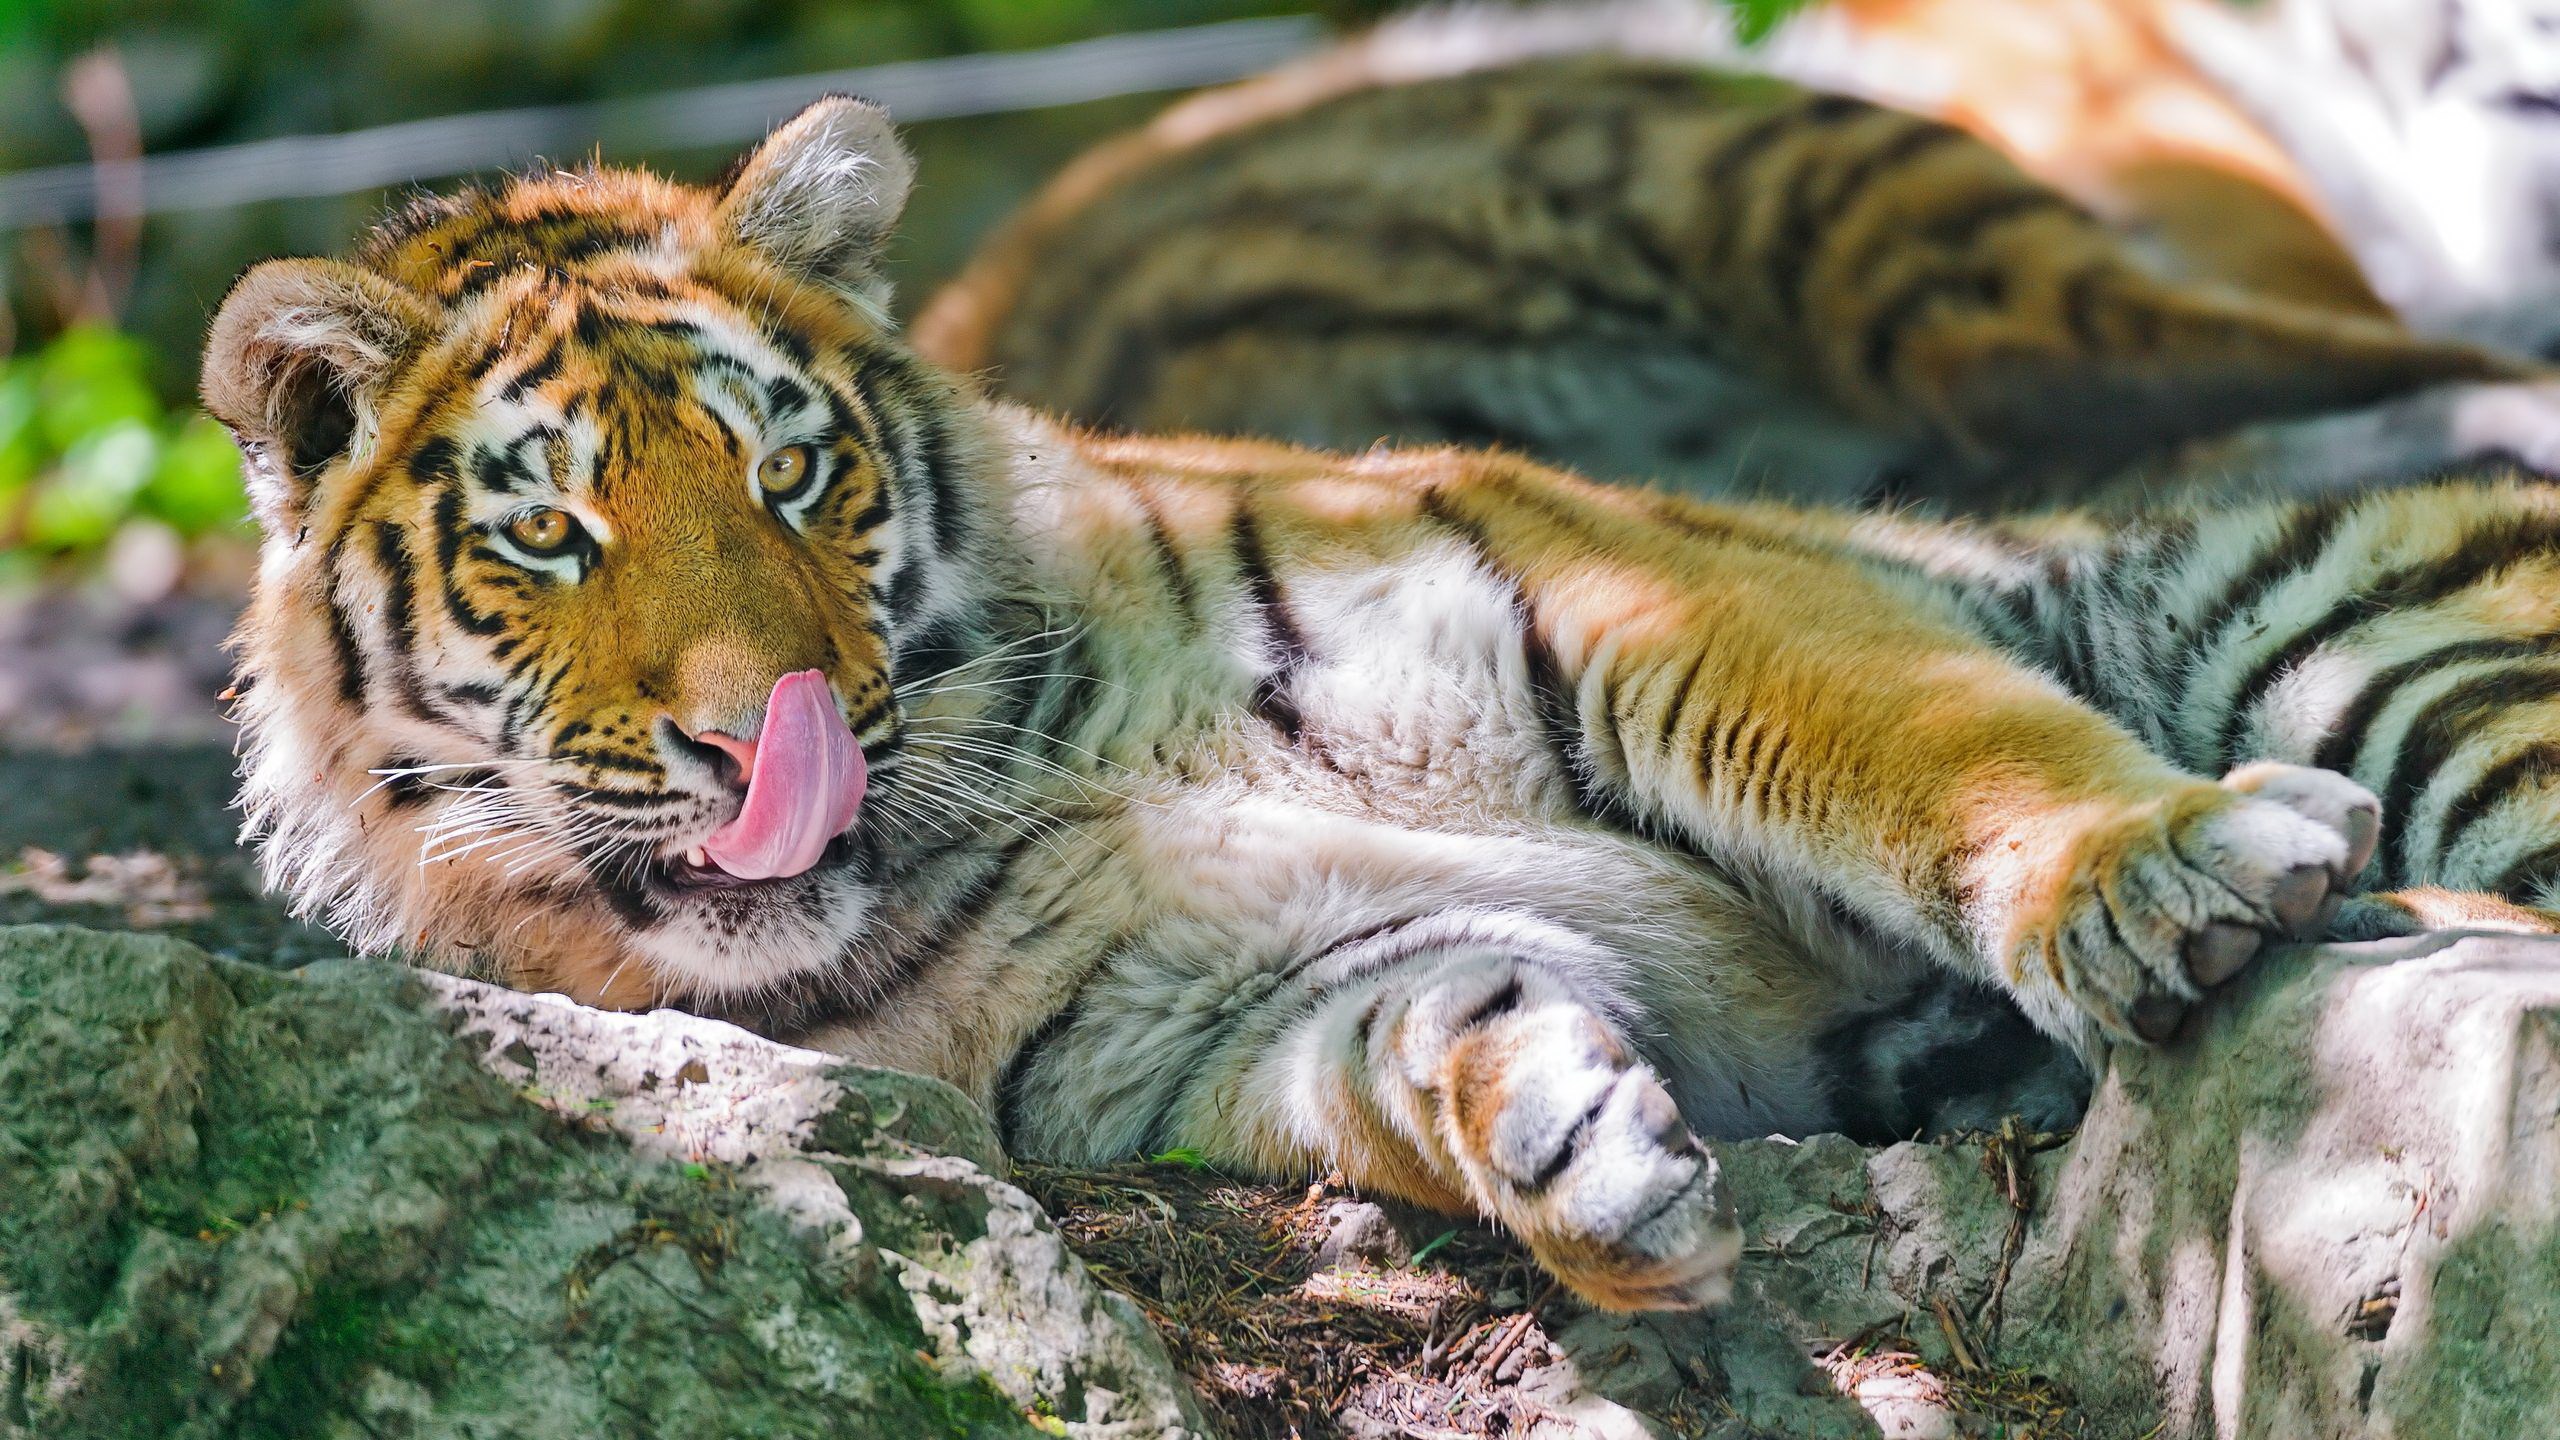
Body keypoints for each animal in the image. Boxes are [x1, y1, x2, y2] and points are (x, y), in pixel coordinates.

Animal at [204, 96, 2560, 1313]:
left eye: (791, 476)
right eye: (552, 533)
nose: (757, 735)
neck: (1019, 783)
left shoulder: (1633, 599)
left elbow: (1928, 747)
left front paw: (2155, 862)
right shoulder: (1204, 1018)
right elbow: (1423, 1032)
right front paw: (1572, 1150)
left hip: (2345, 623)